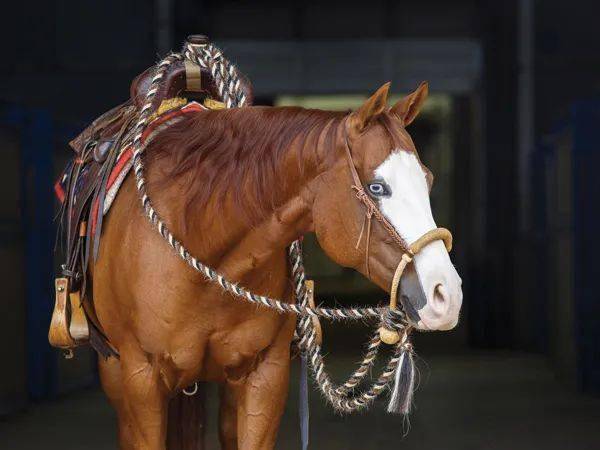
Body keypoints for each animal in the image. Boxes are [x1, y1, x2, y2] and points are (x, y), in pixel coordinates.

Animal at [91, 81, 462, 450]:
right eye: (377, 187)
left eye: (428, 180)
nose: (447, 296)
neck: (200, 241)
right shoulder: (141, 378)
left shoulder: (265, 375)